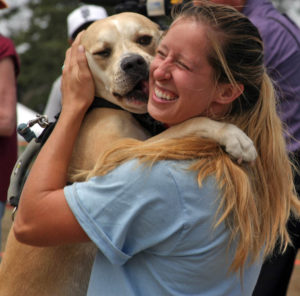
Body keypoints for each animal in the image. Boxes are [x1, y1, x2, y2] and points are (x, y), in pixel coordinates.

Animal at [0, 12, 255, 296]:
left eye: (144, 39)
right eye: (102, 52)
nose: (133, 62)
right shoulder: (115, 155)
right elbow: (190, 122)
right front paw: (232, 135)